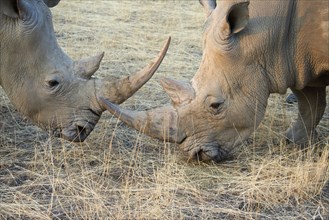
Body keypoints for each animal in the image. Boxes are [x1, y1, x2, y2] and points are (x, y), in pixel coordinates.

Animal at [101, 0, 326, 162]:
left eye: (216, 105)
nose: (195, 155)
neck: (268, 35)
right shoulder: (296, 60)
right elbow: (309, 102)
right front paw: (294, 142)